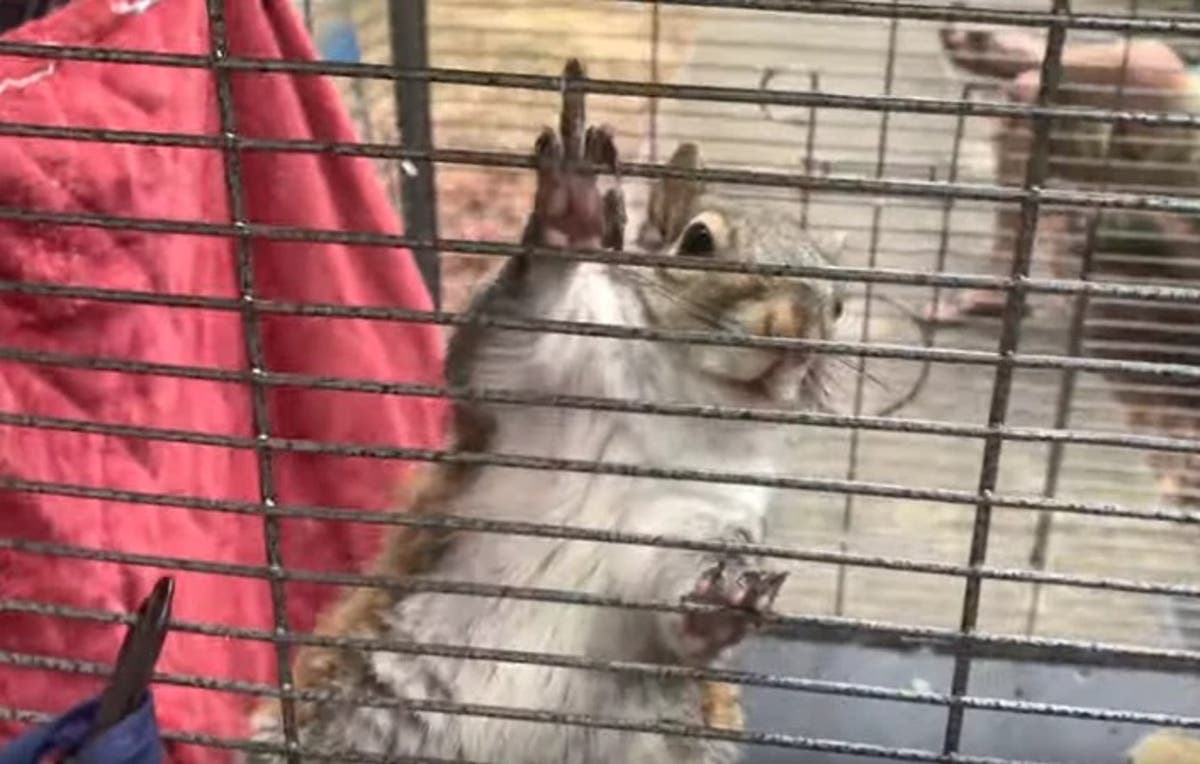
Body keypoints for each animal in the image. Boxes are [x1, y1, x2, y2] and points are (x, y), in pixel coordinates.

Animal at [242, 58, 846, 763]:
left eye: (840, 303)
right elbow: (513, 330)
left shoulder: (701, 511)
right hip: (344, 707)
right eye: (697, 242)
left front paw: (721, 605)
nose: (798, 328)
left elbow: (670, 589)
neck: (685, 403)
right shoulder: (531, 382)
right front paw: (572, 211)